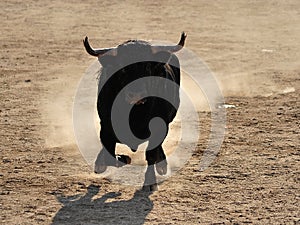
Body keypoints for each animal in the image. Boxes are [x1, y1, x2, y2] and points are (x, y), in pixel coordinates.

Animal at [82, 32, 185, 190]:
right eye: (122, 67)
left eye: (147, 66)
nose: (136, 94)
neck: (135, 114)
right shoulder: (105, 126)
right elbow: (110, 155)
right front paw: (123, 158)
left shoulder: (159, 127)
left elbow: (151, 155)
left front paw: (150, 182)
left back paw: (162, 165)